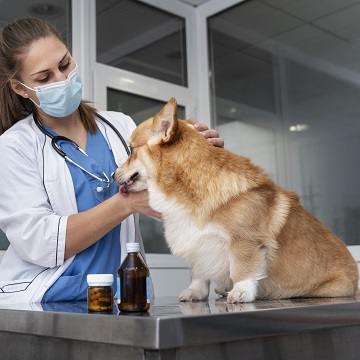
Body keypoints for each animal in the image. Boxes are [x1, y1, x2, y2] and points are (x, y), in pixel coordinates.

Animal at [113, 97, 360, 302]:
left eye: (131, 150)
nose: (114, 175)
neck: (191, 185)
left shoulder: (244, 241)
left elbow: (242, 268)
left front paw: (241, 292)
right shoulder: (200, 245)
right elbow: (200, 272)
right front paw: (195, 292)